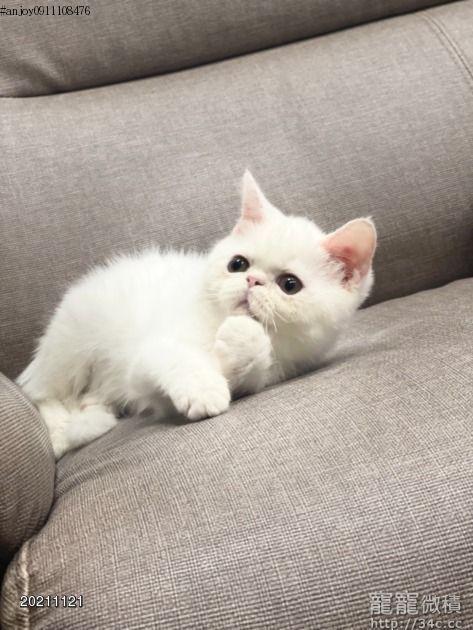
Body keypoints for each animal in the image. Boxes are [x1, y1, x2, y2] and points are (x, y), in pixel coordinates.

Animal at [18, 171, 377, 459]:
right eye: (238, 264)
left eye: (290, 284)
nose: (251, 281)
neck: (216, 322)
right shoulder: (145, 361)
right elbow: (177, 358)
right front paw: (205, 391)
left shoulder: (273, 370)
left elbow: (247, 364)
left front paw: (242, 338)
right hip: (71, 344)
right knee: (41, 391)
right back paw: (60, 431)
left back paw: (90, 416)